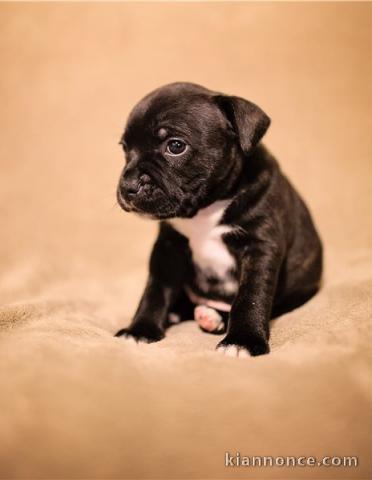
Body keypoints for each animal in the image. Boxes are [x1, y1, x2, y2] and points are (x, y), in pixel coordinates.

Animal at [115, 82, 322, 356]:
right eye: (125, 148)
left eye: (175, 146)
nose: (127, 185)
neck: (206, 209)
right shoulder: (168, 248)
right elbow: (156, 289)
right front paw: (140, 330)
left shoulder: (260, 247)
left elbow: (251, 296)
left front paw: (243, 341)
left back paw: (213, 318)